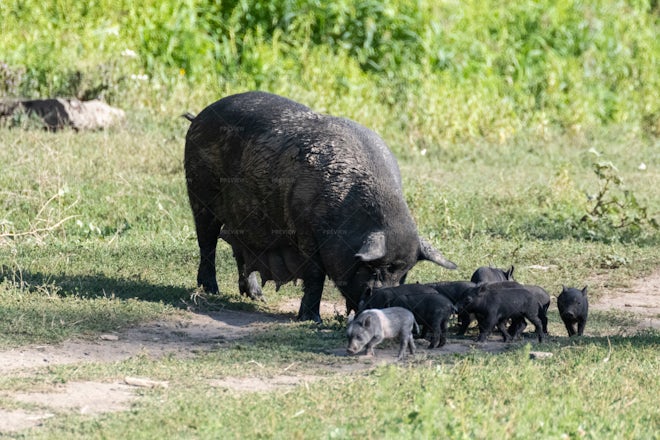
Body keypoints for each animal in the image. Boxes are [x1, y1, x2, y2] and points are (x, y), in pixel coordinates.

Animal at [183, 91, 456, 322]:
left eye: (403, 274)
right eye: (372, 267)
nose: (381, 300)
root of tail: (200, 116)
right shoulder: (305, 232)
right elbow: (315, 276)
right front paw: (311, 319)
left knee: (241, 250)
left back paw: (258, 297)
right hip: (199, 192)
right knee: (207, 241)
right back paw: (212, 290)